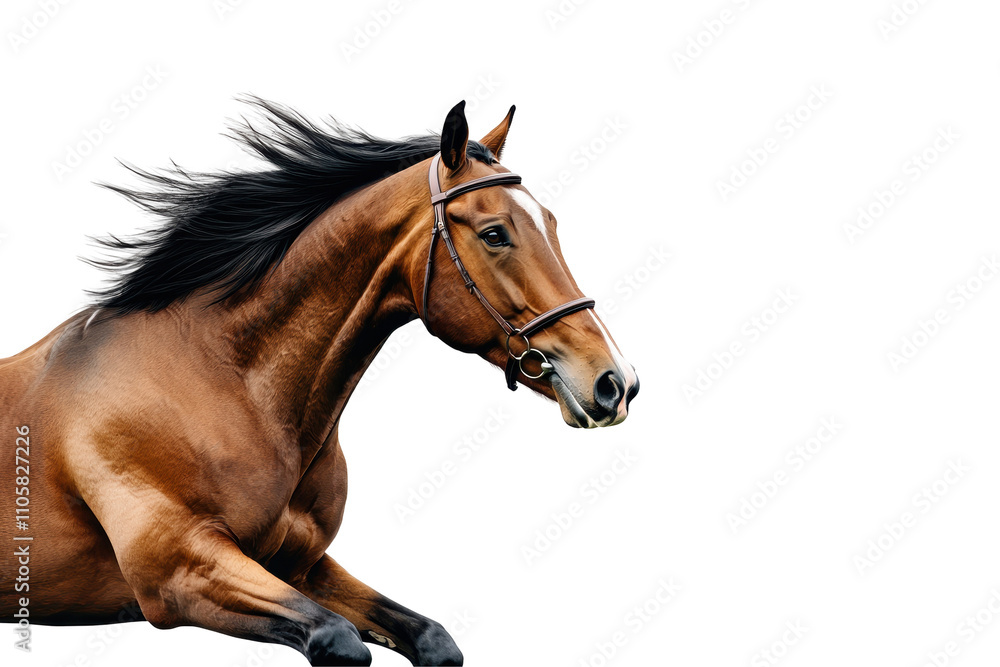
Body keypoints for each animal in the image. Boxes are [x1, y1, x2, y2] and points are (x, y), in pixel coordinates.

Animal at [0, 99, 639, 665]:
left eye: (550, 223)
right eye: (495, 234)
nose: (615, 383)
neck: (228, 384)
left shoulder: (302, 566)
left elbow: (432, 638)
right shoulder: (178, 571)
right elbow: (337, 639)